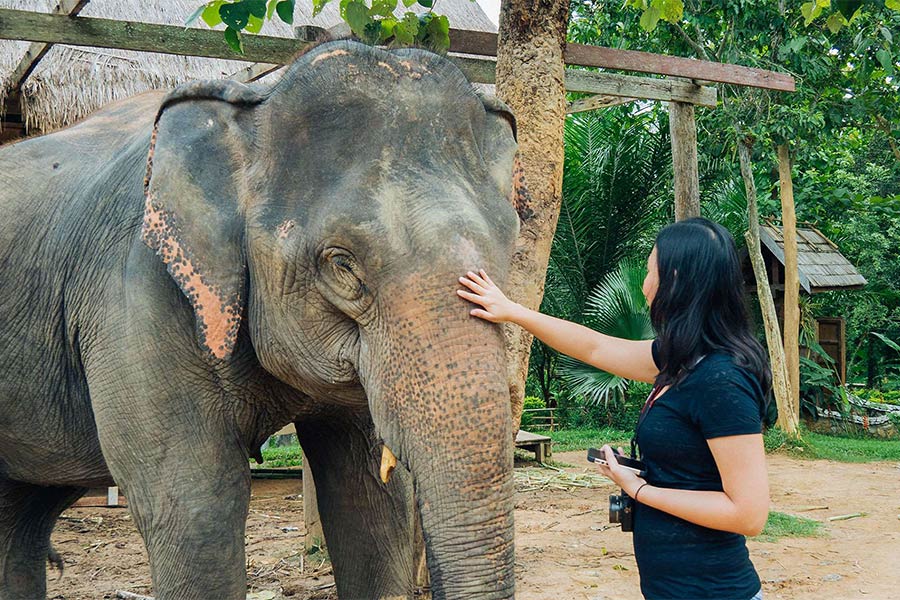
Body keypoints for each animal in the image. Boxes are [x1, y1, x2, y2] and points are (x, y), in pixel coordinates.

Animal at [0, 39, 524, 596]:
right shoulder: (133, 296)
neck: (254, 100)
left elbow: (372, 505)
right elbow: (196, 510)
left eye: (508, 248)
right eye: (342, 265)